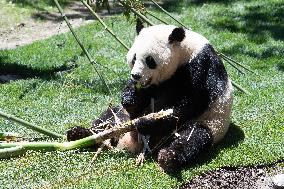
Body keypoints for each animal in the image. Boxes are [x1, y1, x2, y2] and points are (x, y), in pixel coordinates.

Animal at [67, 24, 233, 173]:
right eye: (134, 58)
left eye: (150, 60)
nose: (136, 75)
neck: (184, 50)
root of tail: (128, 144)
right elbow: (136, 97)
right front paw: (131, 99)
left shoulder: (200, 67)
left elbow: (189, 104)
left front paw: (146, 122)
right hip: (120, 117)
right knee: (108, 118)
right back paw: (80, 134)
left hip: (209, 123)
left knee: (193, 138)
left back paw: (168, 157)